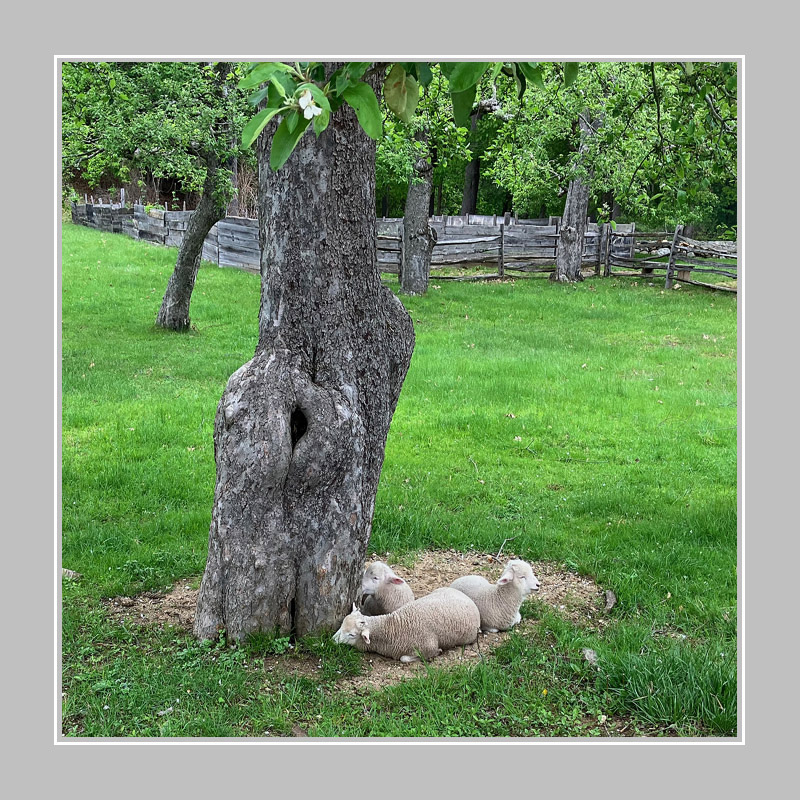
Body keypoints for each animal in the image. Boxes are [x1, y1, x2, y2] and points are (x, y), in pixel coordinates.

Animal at [332, 588, 481, 663]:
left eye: (351, 634)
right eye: (341, 625)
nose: (332, 640)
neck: (394, 627)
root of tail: (467, 597)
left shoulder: (428, 647)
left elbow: (404, 658)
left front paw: (437, 653)